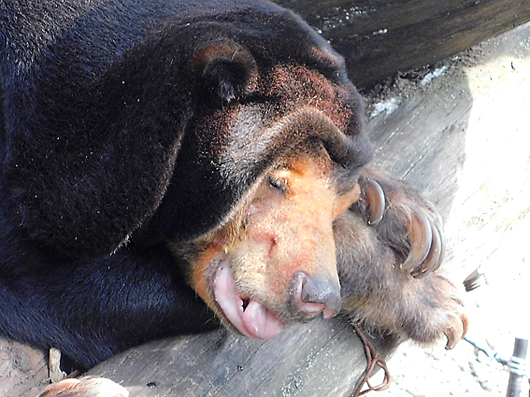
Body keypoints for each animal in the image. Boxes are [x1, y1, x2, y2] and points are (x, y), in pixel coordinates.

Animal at [0, 0, 462, 392]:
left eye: (337, 205)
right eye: (274, 181)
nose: (318, 297)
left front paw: (402, 212)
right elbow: (64, 285)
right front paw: (435, 299)